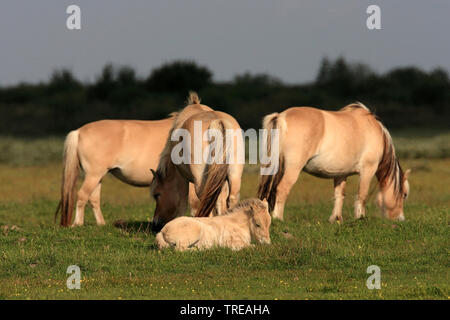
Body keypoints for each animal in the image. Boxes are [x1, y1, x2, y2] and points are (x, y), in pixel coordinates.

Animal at [54, 114, 199, 226]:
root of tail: (78, 132)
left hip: (97, 177)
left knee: (93, 198)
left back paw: (101, 223)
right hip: (93, 175)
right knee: (82, 195)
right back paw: (78, 223)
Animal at [150, 91, 243, 231]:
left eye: (157, 194)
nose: (155, 224)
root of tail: (217, 121)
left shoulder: (181, 178)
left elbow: (183, 203)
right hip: (234, 175)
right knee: (231, 199)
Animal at [258, 102, 410, 222]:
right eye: (404, 194)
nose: (400, 219)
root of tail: (281, 116)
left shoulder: (341, 174)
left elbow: (339, 195)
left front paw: (336, 219)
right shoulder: (368, 170)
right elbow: (362, 195)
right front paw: (360, 218)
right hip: (292, 169)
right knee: (282, 189)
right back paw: (278, 218)